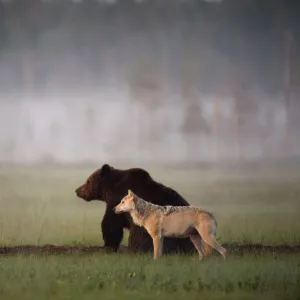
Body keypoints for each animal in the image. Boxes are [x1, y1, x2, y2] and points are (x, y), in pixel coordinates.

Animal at [75, 164, 210, 255]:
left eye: (88, 181)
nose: (77, 190)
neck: (110, 188)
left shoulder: (117, 201)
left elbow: (111, 224)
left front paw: (108, 245)